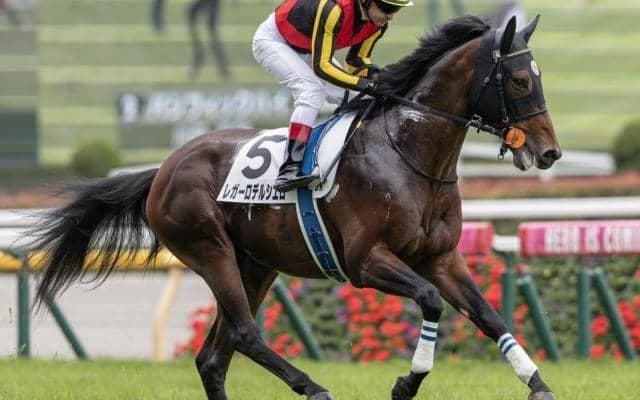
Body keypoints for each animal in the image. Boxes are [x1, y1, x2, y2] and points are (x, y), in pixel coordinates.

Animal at [30, 15, 561, 400]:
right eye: (518, 80)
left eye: (538, 77)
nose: (550, 152)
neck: (408, 152)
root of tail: (164, 168)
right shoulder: (365, 262)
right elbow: (430, 301)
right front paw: (406, 383)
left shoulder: (441, 257)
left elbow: (490, 317)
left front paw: (538, 384)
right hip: (209, 250)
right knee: (244, 335)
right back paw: (314, 387)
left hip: (255, 265)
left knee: (214, 357)